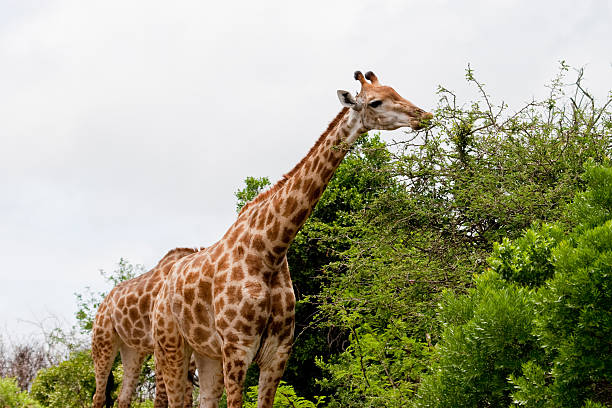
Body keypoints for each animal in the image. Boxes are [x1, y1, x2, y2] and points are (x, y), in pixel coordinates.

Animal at [92, 247, 201, 408]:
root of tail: (102, 305)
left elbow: (187, 399)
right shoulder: (161, 344)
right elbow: (161, 397)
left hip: (132, 351)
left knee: (123, 396)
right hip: (102, 342)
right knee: (99, 395)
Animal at [152, 71, 430, 406]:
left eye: (396, 90)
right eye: (376, 102)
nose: (423, 115)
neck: (270, 250)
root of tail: (163, 285)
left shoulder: (278, 353)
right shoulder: (237, 347)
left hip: (206, 354)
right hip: (171, 346)